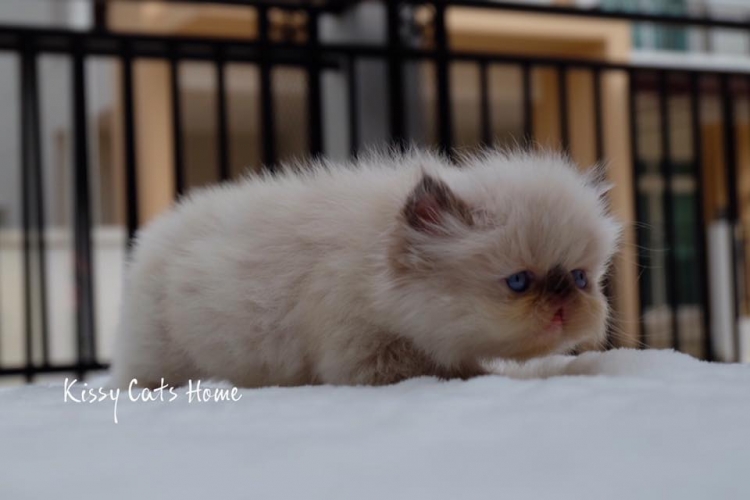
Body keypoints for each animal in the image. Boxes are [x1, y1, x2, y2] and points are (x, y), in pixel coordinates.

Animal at [110, 149, 621, 388]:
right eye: (518, 282)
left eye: (579, 277)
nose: (563, 305)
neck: (372, 264)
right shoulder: (368, 352)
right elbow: (455, 371)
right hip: (155, 352)